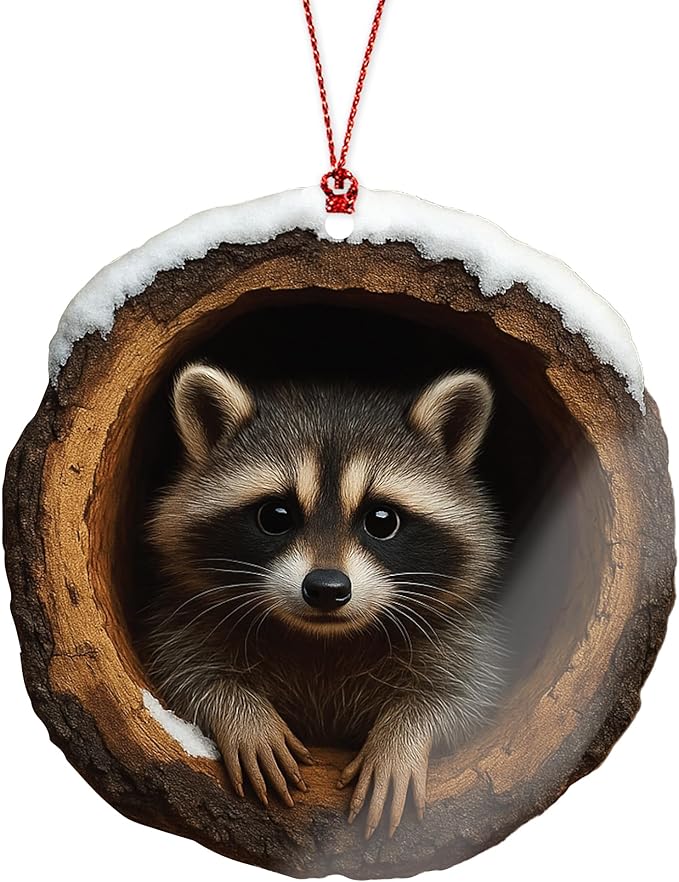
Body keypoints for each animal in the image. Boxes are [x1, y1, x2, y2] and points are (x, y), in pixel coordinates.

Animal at [143, 364, 505, 839]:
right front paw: (243, 716)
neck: (324, 637)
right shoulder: (187, 612)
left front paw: (403, 734)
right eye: (275, 516)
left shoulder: (460, 631)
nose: (327, 588)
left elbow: (467, 695)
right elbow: (182, 672)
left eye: (381, 521)